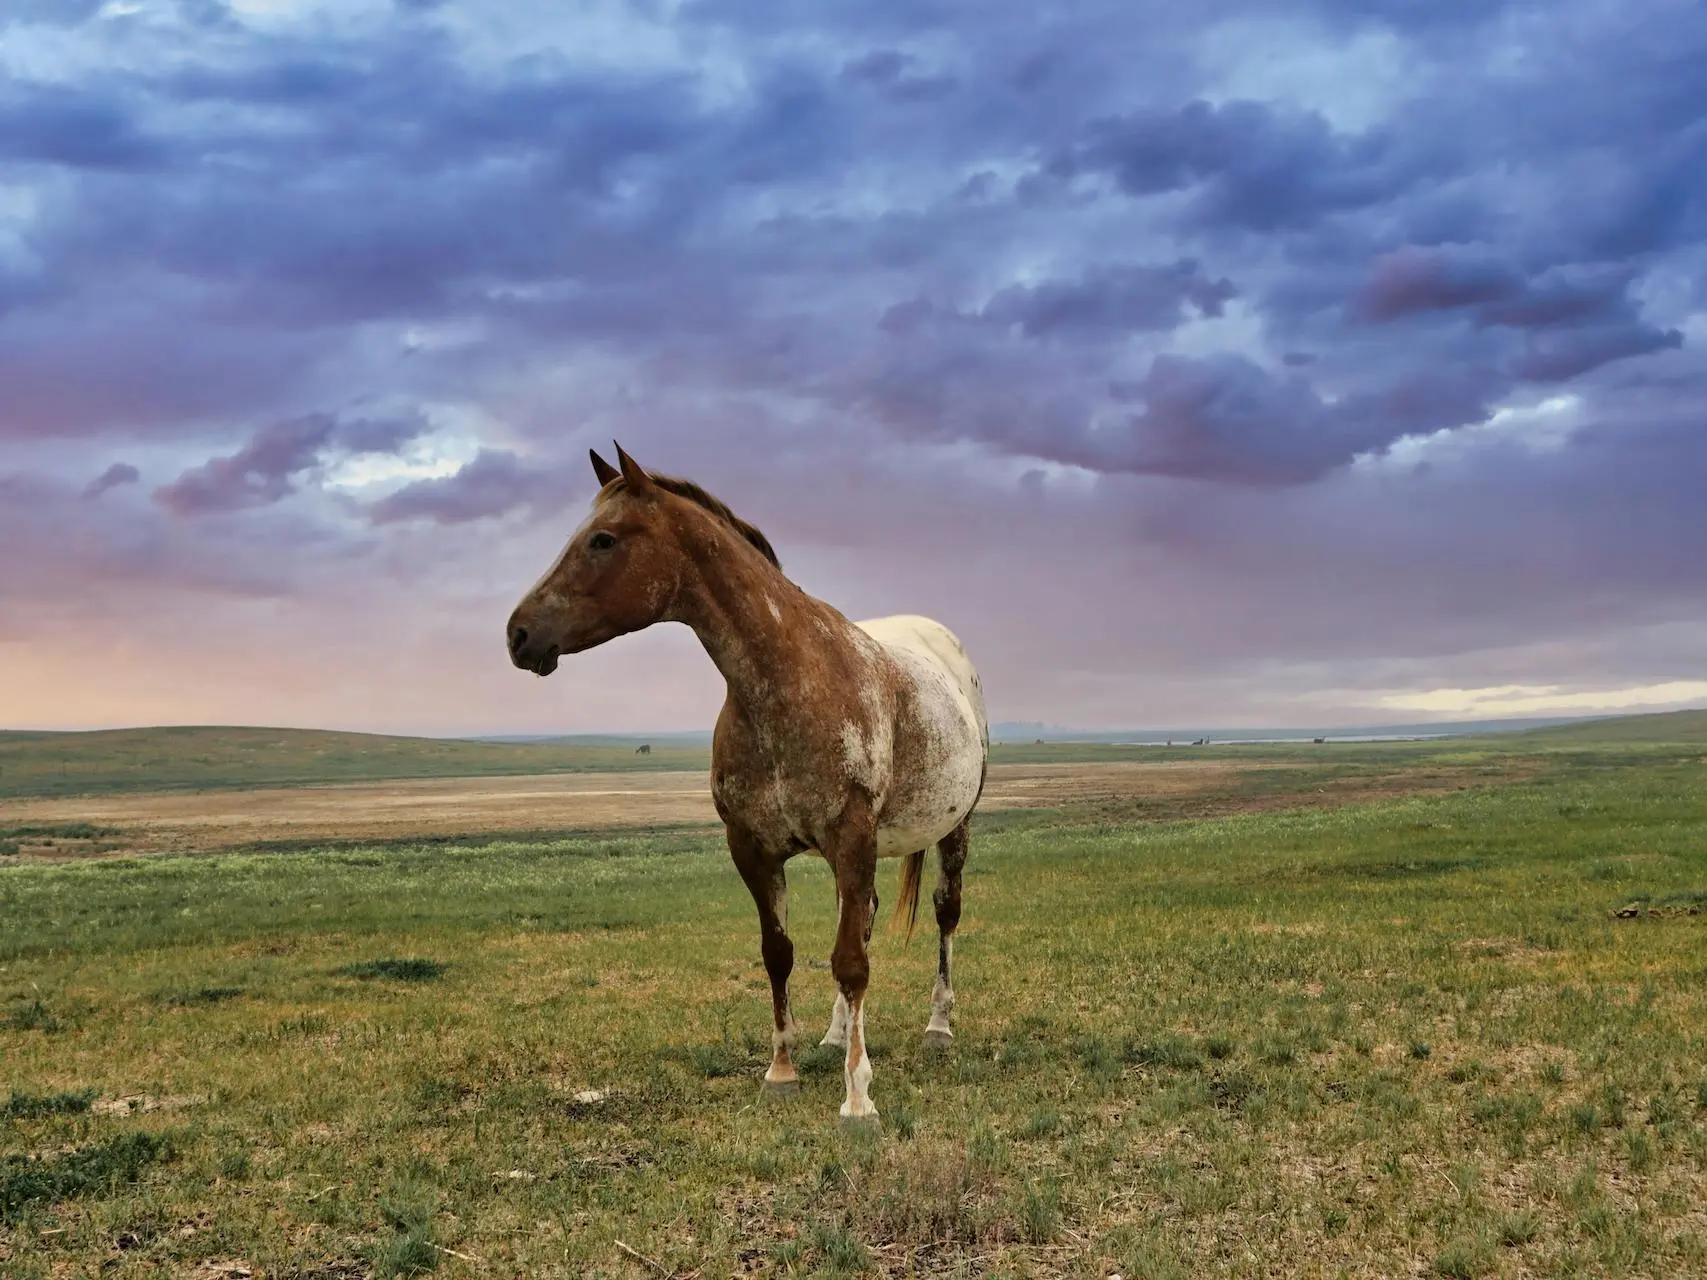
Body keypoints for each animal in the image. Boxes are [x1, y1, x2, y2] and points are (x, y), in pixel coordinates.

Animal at [505, 443, 990, 1119]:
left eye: (602, 540)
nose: (518, 634)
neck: (786, 683)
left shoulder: (853, 838)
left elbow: (851, 962)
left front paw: (857, 1097)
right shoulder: (754, 849)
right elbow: (780, 955)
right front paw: (783, 1068)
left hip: (955, 828)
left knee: (945, 912)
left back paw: (938, 1026)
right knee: (862, 918)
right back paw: (836, 1032)